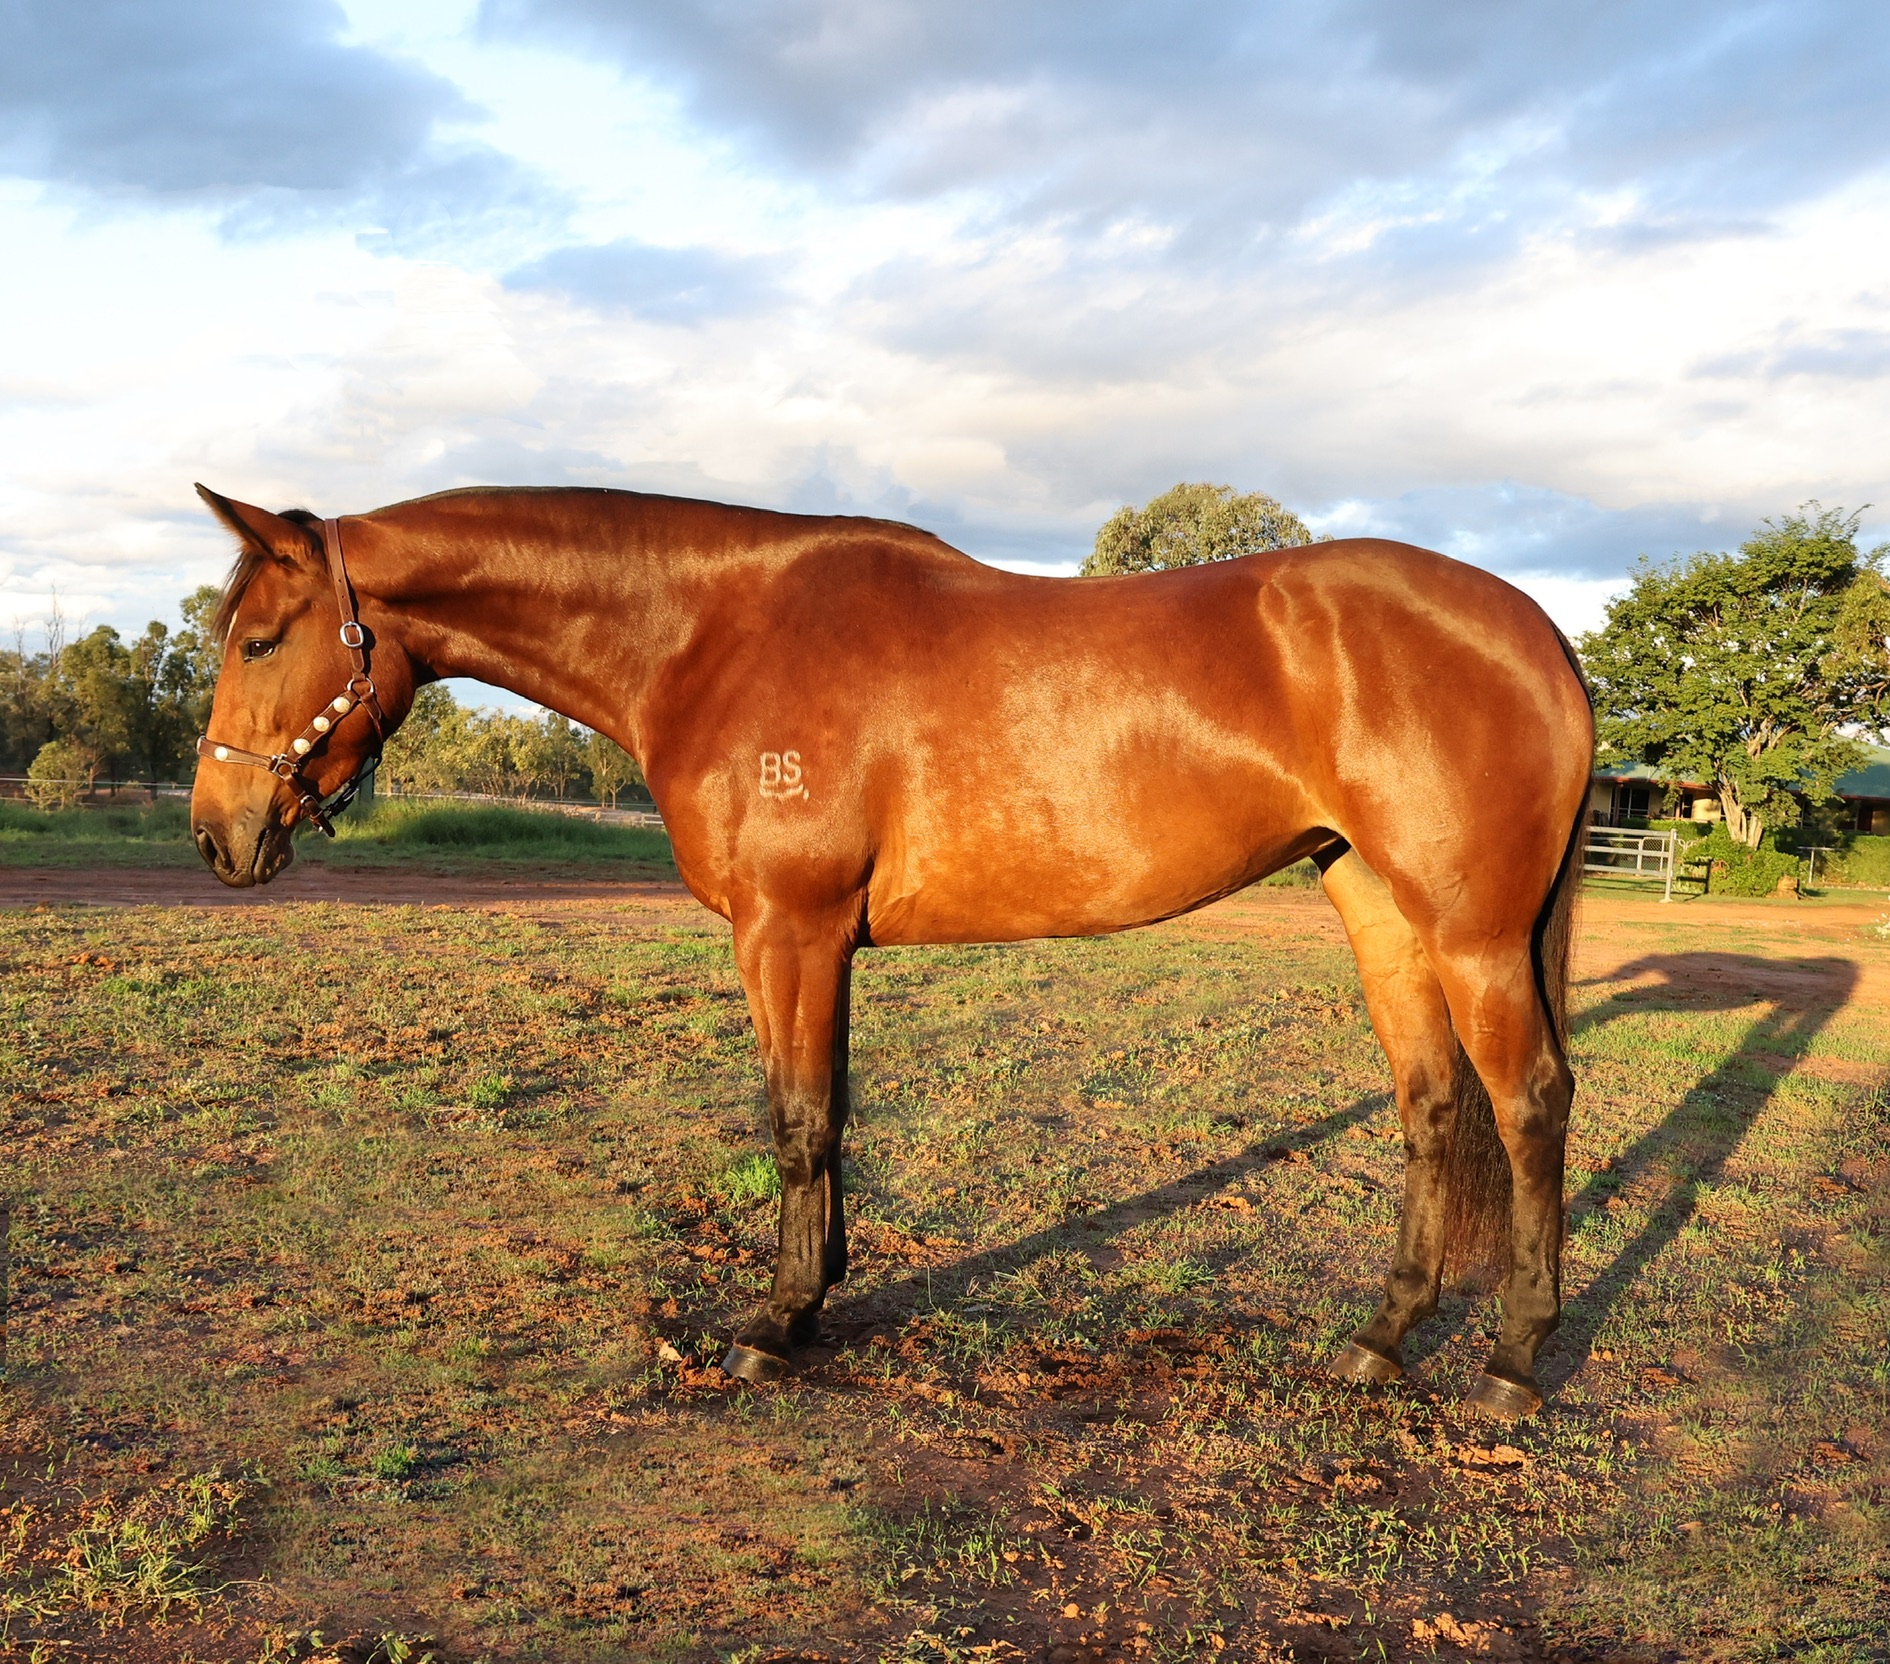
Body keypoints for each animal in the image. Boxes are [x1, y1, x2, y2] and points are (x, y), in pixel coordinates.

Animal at [188, 483, 1593, 1419]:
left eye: (260, 638)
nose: (218, 834)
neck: (711, 633)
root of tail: (1537, 630)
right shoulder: (819, 941)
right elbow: (831, 1109)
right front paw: (819, 1293)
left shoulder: (789, 928)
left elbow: (797, 1117)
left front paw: (772, 1324)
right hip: (1378, 905)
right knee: (1431, 1102)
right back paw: (1381, 1337)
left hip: (1471, 933)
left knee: (1528, 1101)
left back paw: (1514, 1361)